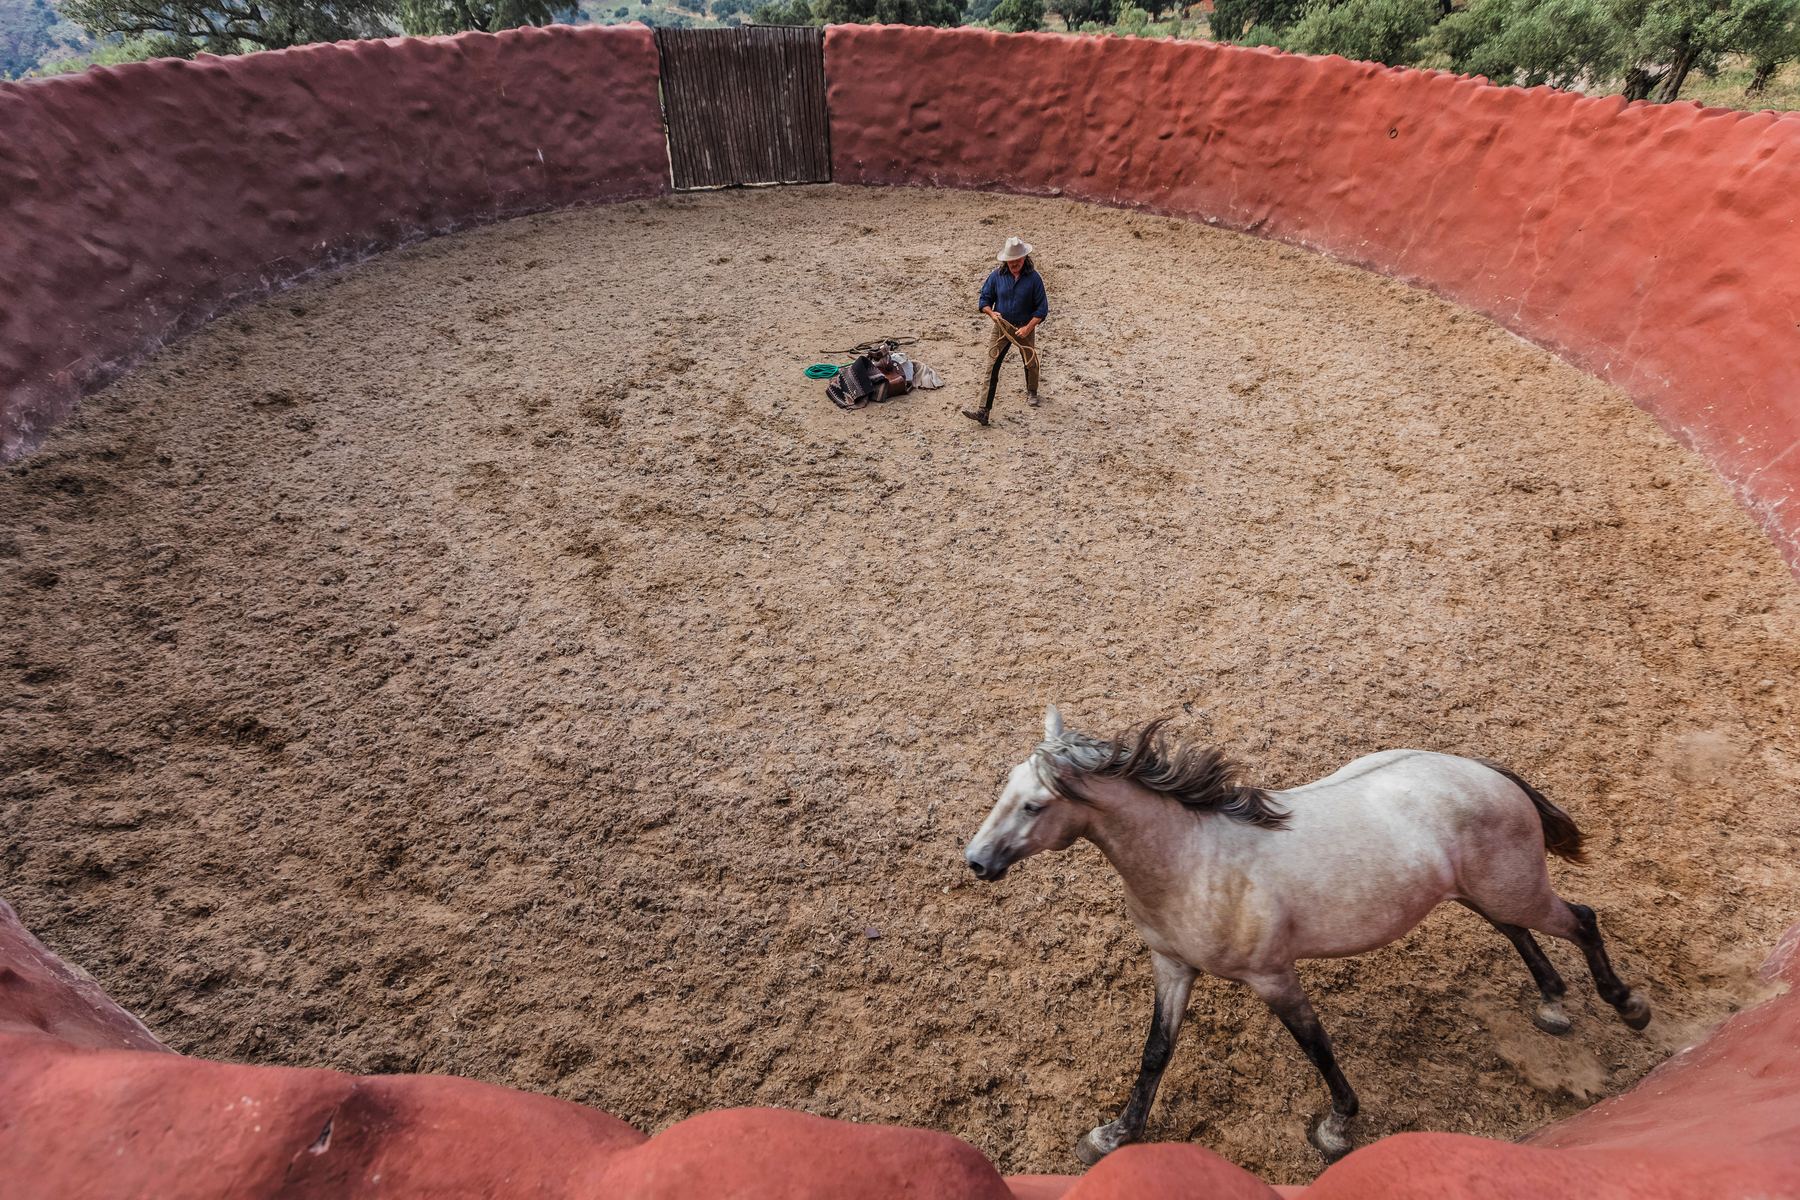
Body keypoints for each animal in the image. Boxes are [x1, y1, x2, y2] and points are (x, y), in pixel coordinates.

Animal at [962, 706, 1651, 1164]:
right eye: (1005, 791)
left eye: (1034, 806)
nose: (976, 861)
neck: (1192, 859)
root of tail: (1486, 773)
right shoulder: (1172, 967)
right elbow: (1156, 1051)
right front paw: (1113, 1134)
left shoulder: (1273, 976)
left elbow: (1316, 1046)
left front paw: (1337, 1128)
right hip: (1479, 892)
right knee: (1517, 932)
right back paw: (1553, 1003)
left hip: (1516, 888)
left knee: (1581, 919)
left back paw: (1628, 1006)